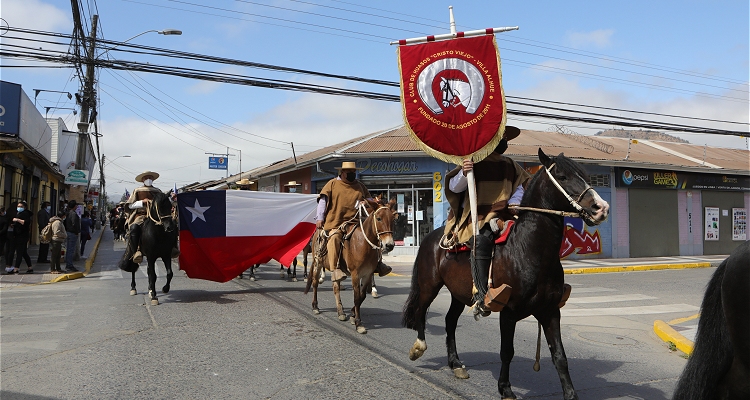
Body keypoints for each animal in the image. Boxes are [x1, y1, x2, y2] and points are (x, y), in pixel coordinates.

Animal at [306, 198, 400, 332]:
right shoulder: (355, 274)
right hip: (317, 263)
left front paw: (352, 314)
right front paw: (358, 323)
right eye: (379, 218)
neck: (364, 244)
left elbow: (361, 296)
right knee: (315, 283)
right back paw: (315, 306)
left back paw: (340, 312)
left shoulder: (367, 274)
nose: (389, 245)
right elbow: (356, 297)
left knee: (336, 287)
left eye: (393, 219)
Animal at [406, 148, 612, 398]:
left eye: (585, 175)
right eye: (562, 177)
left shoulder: (550, 311)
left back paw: (456, 364)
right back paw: (418, 347)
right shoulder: (509, 313)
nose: (601, 208)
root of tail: (433, 237)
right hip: (429, 285)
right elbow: (507, 351)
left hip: (458, 293)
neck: (529, 251)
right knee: (421, 311)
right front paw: (505, 388)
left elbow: (560, 356)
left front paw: (571, 394)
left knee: (450, 321)